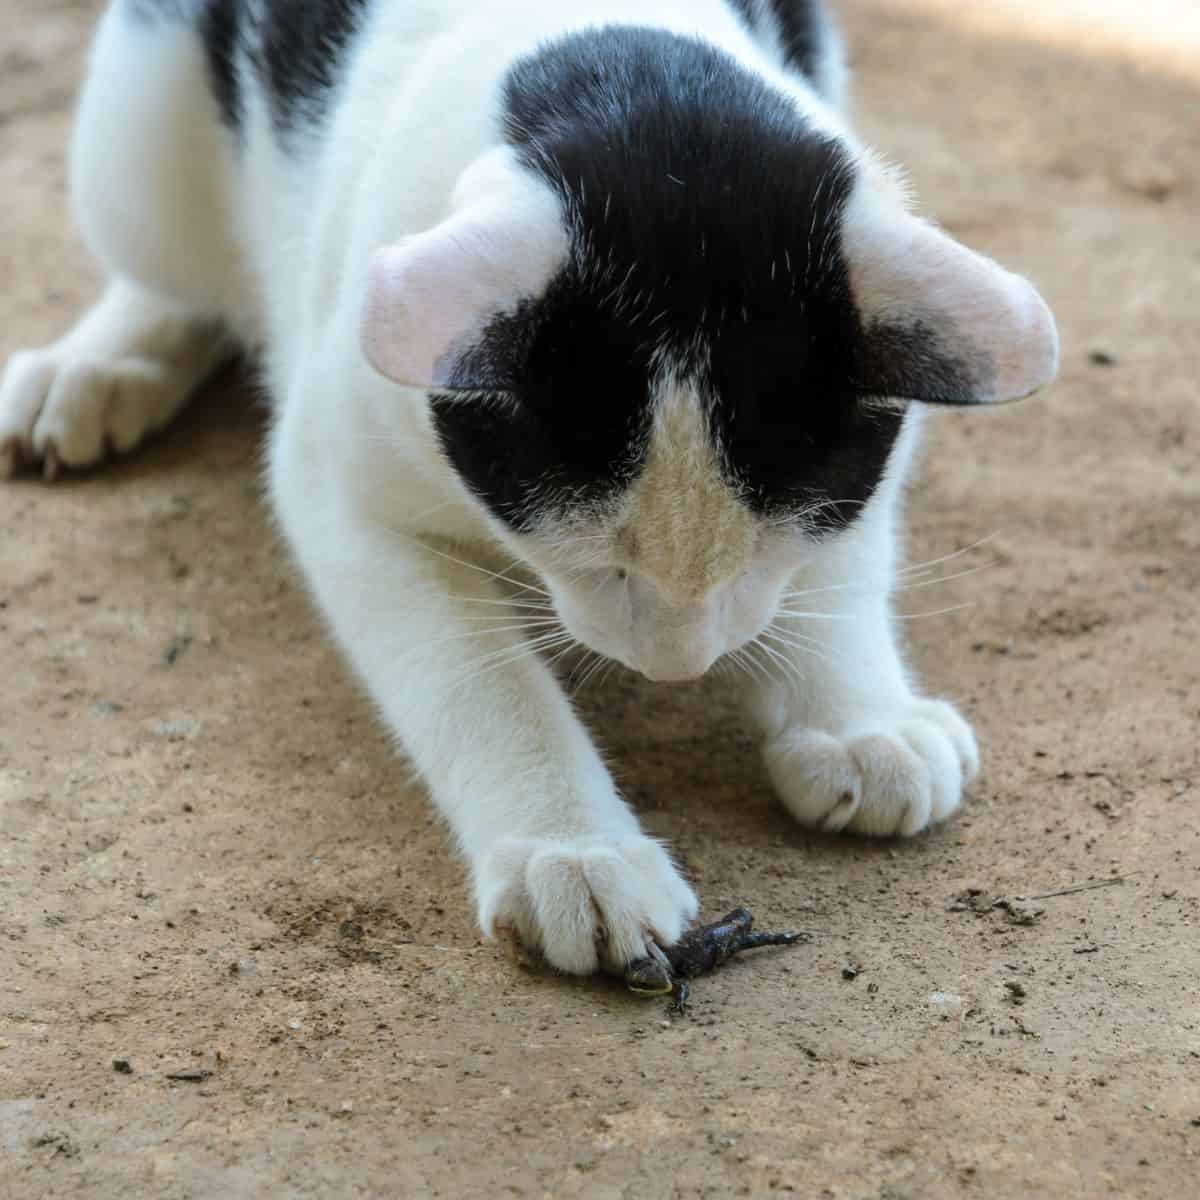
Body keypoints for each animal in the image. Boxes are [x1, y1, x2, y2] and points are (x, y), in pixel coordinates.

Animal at [4, 0, 1060, 974]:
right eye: (598, 560)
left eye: (765, 546)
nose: (677, 664)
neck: (623, 68)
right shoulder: (342, 489)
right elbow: (477, 676)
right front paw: (575, 853)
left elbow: (846, 556)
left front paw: (858, 720)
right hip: (140, 131)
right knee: (169, 266)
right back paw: (100, 366)